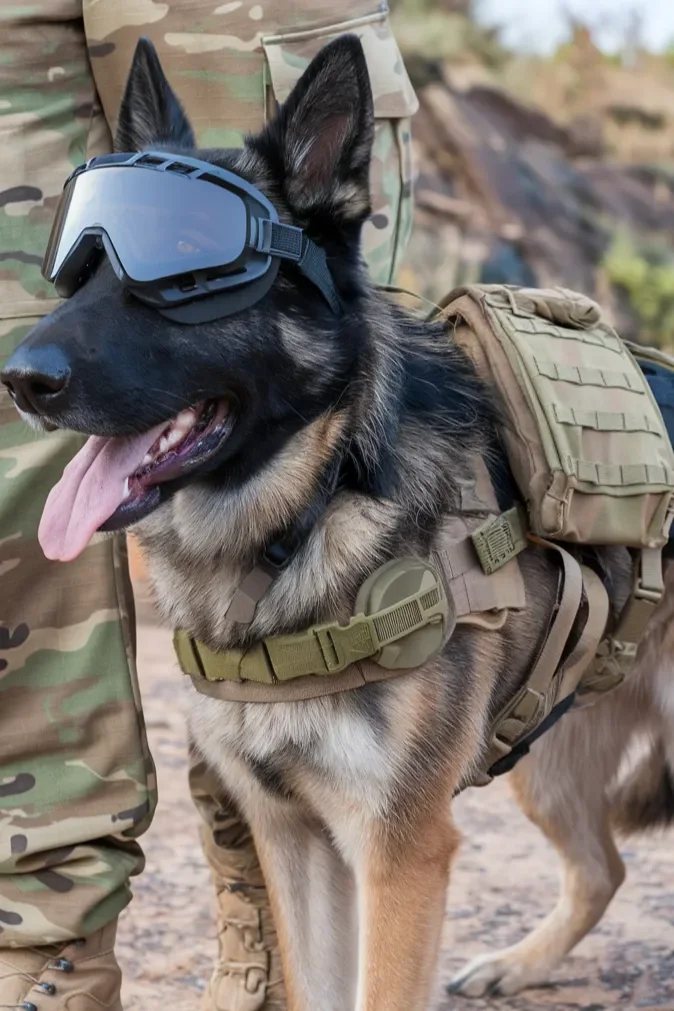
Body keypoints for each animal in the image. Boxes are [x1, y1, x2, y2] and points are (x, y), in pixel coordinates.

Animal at [5, 35, 674, 1006]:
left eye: (185, 260)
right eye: (79, 263)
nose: (21, 379)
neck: (314, 505)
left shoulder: (400, 851)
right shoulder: (292, 837)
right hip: (551, 756)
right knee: (602, 866)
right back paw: (517, 963)